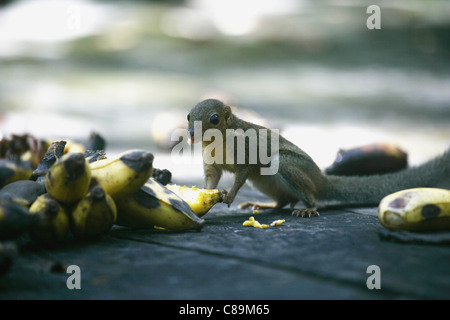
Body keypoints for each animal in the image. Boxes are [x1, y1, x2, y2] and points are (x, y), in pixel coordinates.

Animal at [186, 98, 450, 218]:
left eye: (214, 119)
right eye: (188, 116)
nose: (190, 134)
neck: (217, 144)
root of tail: (321, 179)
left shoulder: (245, 151)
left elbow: (241, 174)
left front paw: (229, 195)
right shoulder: (211, 164)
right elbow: (211, 178)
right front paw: (206, 193)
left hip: (286, 165)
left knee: (308, 196)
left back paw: (308, 208)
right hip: (263, 181)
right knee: (283, 201)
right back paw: (266, 205)